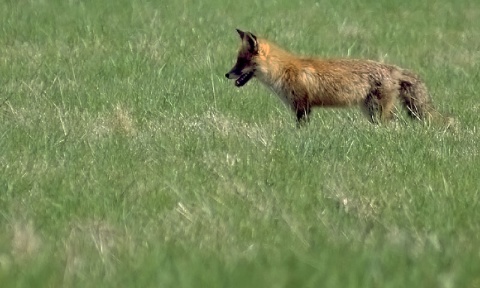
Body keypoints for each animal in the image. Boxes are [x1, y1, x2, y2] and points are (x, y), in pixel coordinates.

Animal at [227, 28, 444, 124]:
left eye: (241, 62)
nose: (227, 74)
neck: (284, 71)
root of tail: (394, 69)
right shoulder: (302, 107)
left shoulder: (303, 106)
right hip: (370, 110)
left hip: (377, 111)